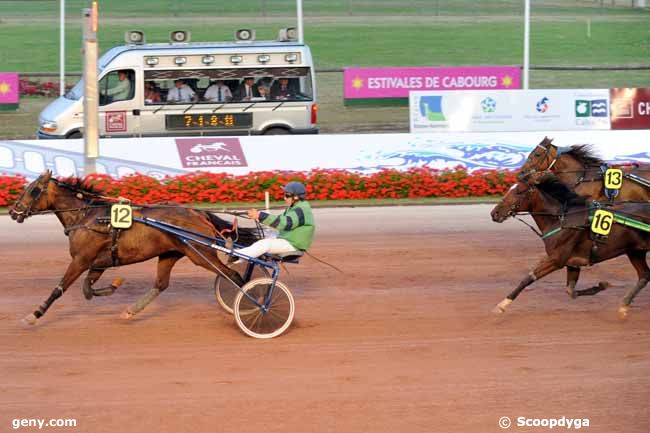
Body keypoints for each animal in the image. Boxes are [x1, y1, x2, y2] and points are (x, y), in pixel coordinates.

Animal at [8, 170, 260, 326]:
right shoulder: (98, 262)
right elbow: (88, 289)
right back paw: (131, 310)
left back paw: (251, 303)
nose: (12, 211)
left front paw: (34, 315)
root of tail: (198, 214)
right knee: (161, 284)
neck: (88, 217)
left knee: (232, 275)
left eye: (33, 190)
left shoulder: (80, 260)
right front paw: (114, 284)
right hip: (170, 254)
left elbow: (60, 289)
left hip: (201, 254)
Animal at [488, 176, 644, 318]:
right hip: (635, 251)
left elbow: (528, 278)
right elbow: (571, 291)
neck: (561, 220)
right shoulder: (573, 262)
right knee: (644, 276)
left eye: (519, 192)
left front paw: (501, 305)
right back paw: (624, 306)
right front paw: (601, 286)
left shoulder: (556, 260)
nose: (495, 213)